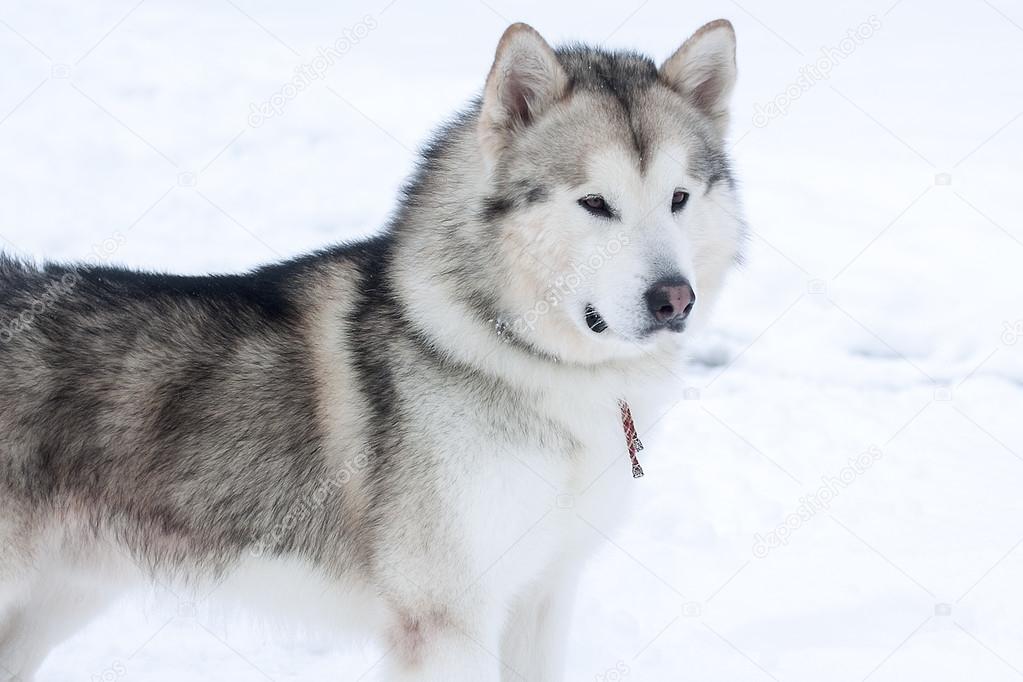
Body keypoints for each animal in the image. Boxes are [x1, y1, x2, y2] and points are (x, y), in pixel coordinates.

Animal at [3, 20, 748, 682]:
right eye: (595, 203)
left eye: (678, 198)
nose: (672, 298)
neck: (528, 362)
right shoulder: (446, 622)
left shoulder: (539, 597)